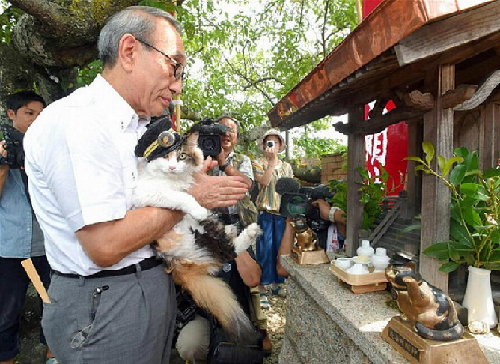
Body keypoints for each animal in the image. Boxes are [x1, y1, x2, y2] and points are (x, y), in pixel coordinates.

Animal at [133, 118, 262, 342]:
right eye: (165, 156)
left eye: (182, 156)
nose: (173, 166)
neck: (173, 180)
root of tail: (181, 269)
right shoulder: (146, 194)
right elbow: (181, 196)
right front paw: (195, 205)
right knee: (228, 253)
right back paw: (246, 231)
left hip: (204, 231)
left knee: (228, 250)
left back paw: (244, 230)